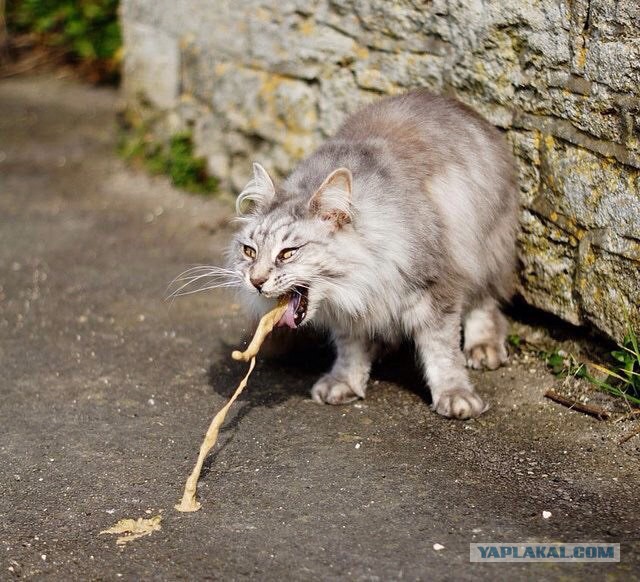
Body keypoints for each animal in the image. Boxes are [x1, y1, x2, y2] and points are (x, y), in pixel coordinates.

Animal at [229, 89, 516, 420]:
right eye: (249, 251)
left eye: (288, 253)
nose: (256, 281)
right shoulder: (348, 308)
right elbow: (350, 348)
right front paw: (345, 382)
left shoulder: (433, 286)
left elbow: (442, 351)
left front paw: (455, 395)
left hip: (484, 249)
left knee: (486, 302)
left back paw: (483, 346)